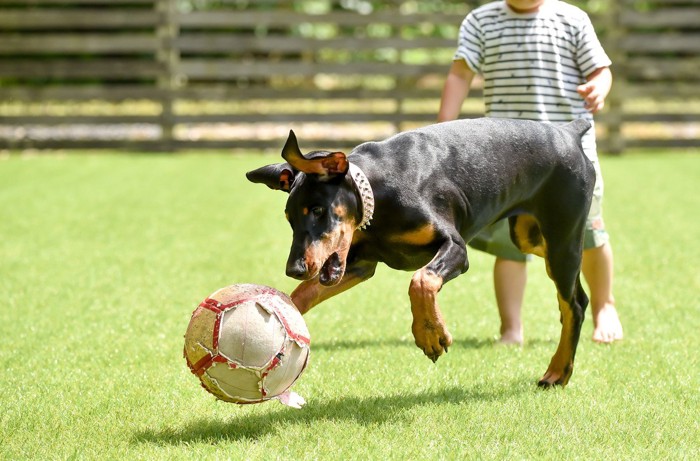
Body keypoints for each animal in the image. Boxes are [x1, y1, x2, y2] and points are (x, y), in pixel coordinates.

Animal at [249, 117, 592, 384]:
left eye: (318, 210)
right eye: (290, 219)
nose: (294, 269)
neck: (378, 192)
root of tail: (569, 132)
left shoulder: (455, 247)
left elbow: (421, 280)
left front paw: (430, 335)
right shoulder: (359, 264)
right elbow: (301, 295)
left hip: (561, 238)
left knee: (574, 303)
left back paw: (557, 371)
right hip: (530, 237)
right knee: (575, 297)